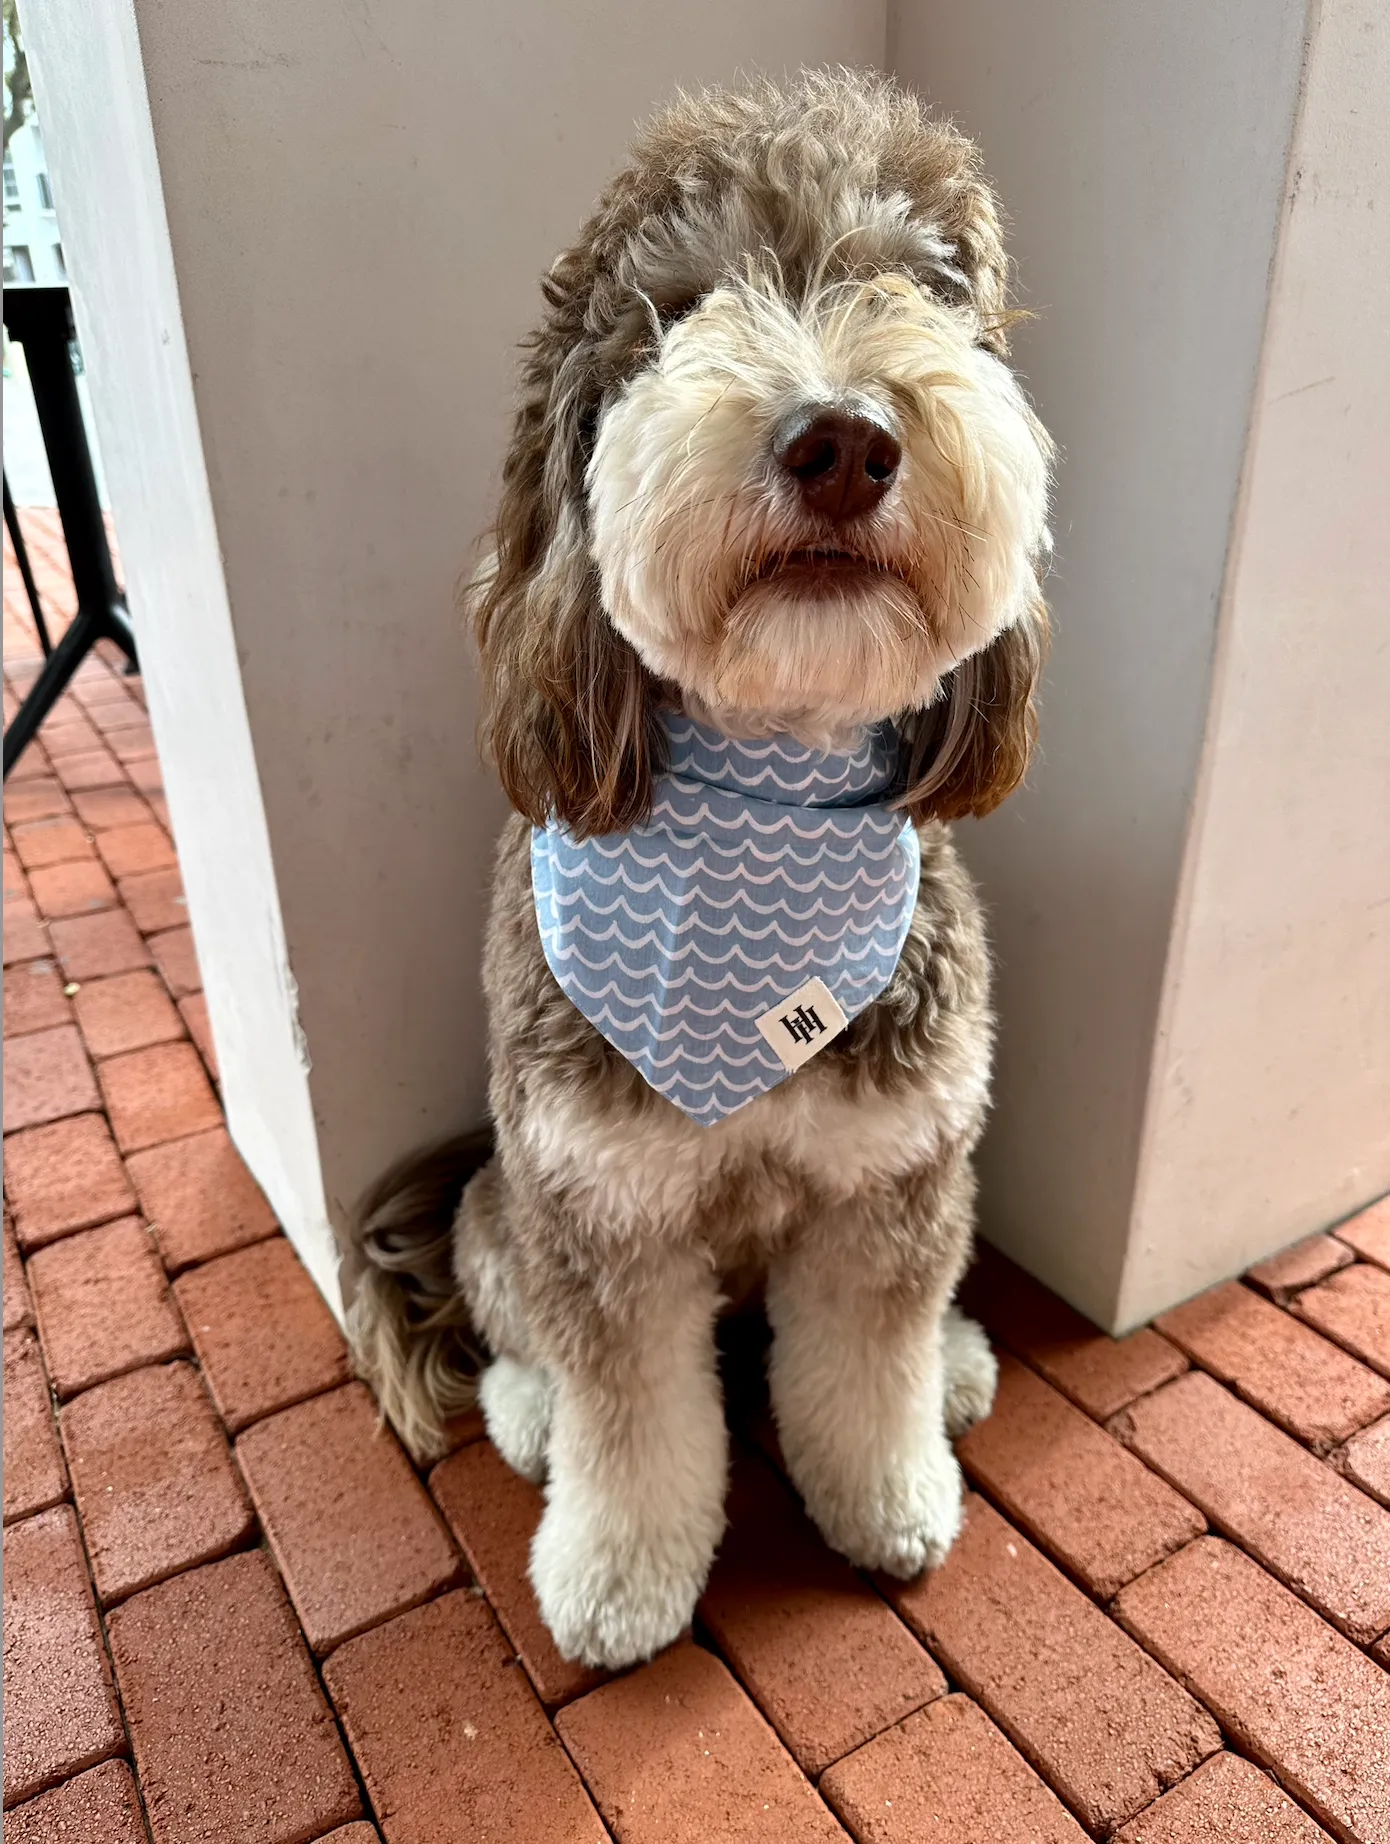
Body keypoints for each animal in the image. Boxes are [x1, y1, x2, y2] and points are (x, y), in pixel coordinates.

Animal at [348, 68, 1047, 1674]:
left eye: (918, 288)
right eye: (680, 307)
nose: (843, 439)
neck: (766, 807)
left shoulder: (892, 1179)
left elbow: (867, 1361)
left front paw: (892, 1495)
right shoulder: (601, 1212)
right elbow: (629, 1420)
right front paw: (615, 1583)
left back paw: (956, 1363)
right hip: (508, 1204)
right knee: (517, 1327)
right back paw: (526, 1411)